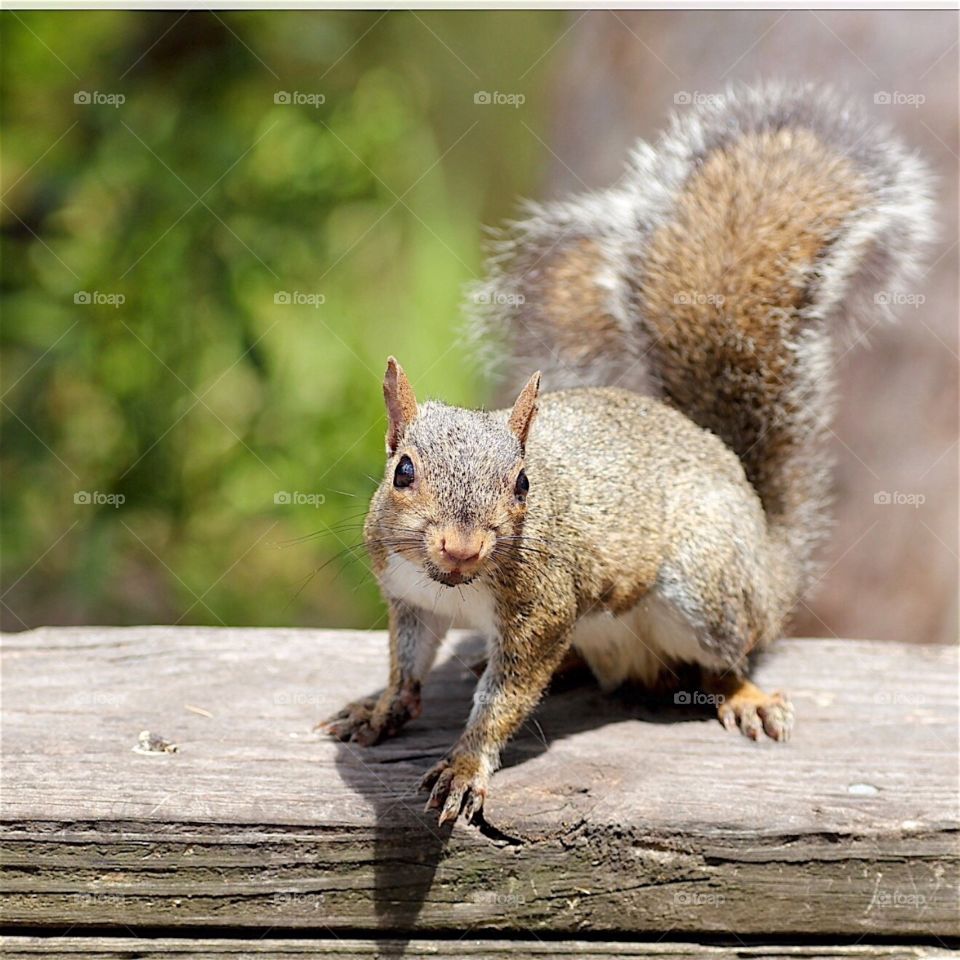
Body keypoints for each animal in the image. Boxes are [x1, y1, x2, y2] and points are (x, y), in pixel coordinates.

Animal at [321, 83, 933, 826]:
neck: (455, 588)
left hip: (705, 588)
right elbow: (406, 664)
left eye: (523, 483)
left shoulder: (543, 612)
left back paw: (744, 697)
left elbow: (503, 702)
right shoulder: (411, 601)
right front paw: (380, 707)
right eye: (402, 471)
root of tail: (767, 558)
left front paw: (466, 765)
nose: (462, 548)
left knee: (725, 660)